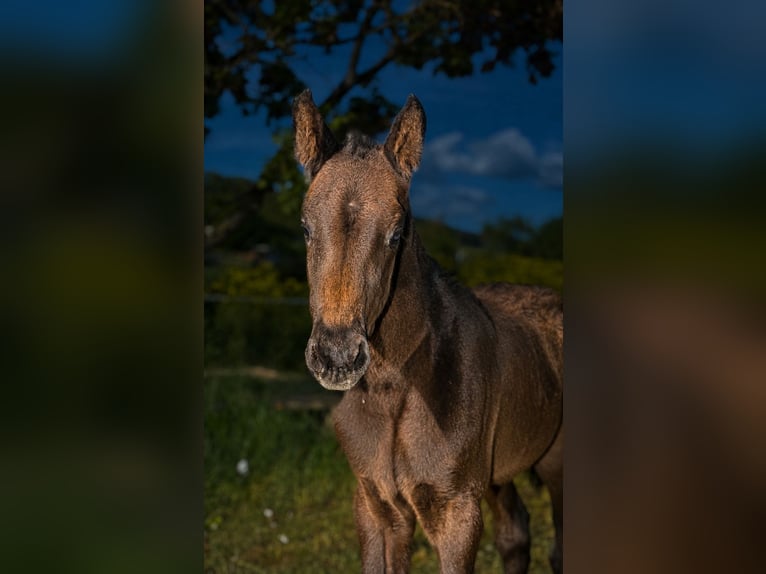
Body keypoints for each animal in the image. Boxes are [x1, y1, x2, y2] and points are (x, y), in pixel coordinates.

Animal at [292, 89, 563, 574]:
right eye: (305, 227)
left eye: (397, 233)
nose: (337, 357)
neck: (391, 393)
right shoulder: (375, 506)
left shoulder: (456, 512)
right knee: (515, 533)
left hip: (557, 463)